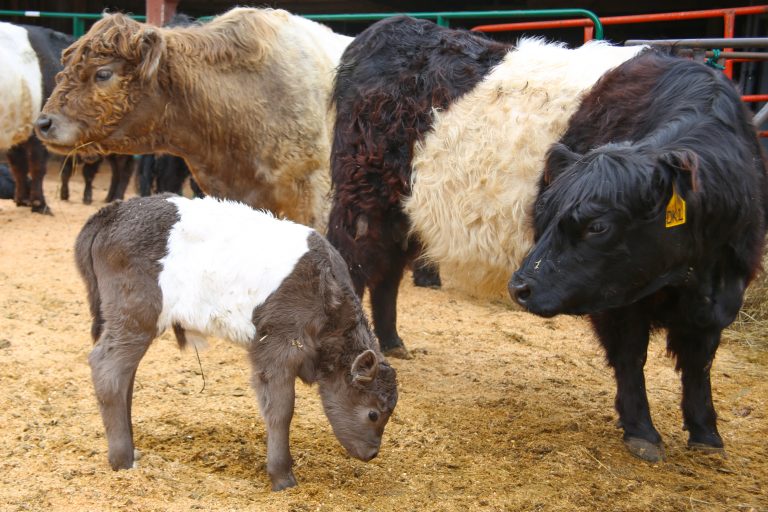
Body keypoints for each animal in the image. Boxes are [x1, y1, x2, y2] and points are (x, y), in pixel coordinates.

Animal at [75, 194, 398, 490]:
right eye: (373, 413)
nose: (372, 453)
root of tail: (113, 212)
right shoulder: (278, 347)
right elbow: (281, 410)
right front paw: (282, 477)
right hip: (136, 315)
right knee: (108, 368)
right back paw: (122, 459)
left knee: (125, 374)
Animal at [329, 16, 643, 357]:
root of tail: (387, 27)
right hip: (365, 199)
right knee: (355, 261)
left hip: (400, 207)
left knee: (387, 269)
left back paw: (391, 343)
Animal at [509, 51, 768, 462]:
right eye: (545, 212)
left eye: (598, 226)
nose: (520, 287)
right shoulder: (616, 298)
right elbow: (631, 357)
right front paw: (641, 431)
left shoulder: (724, 292)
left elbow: (699, 363)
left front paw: (706, 433)